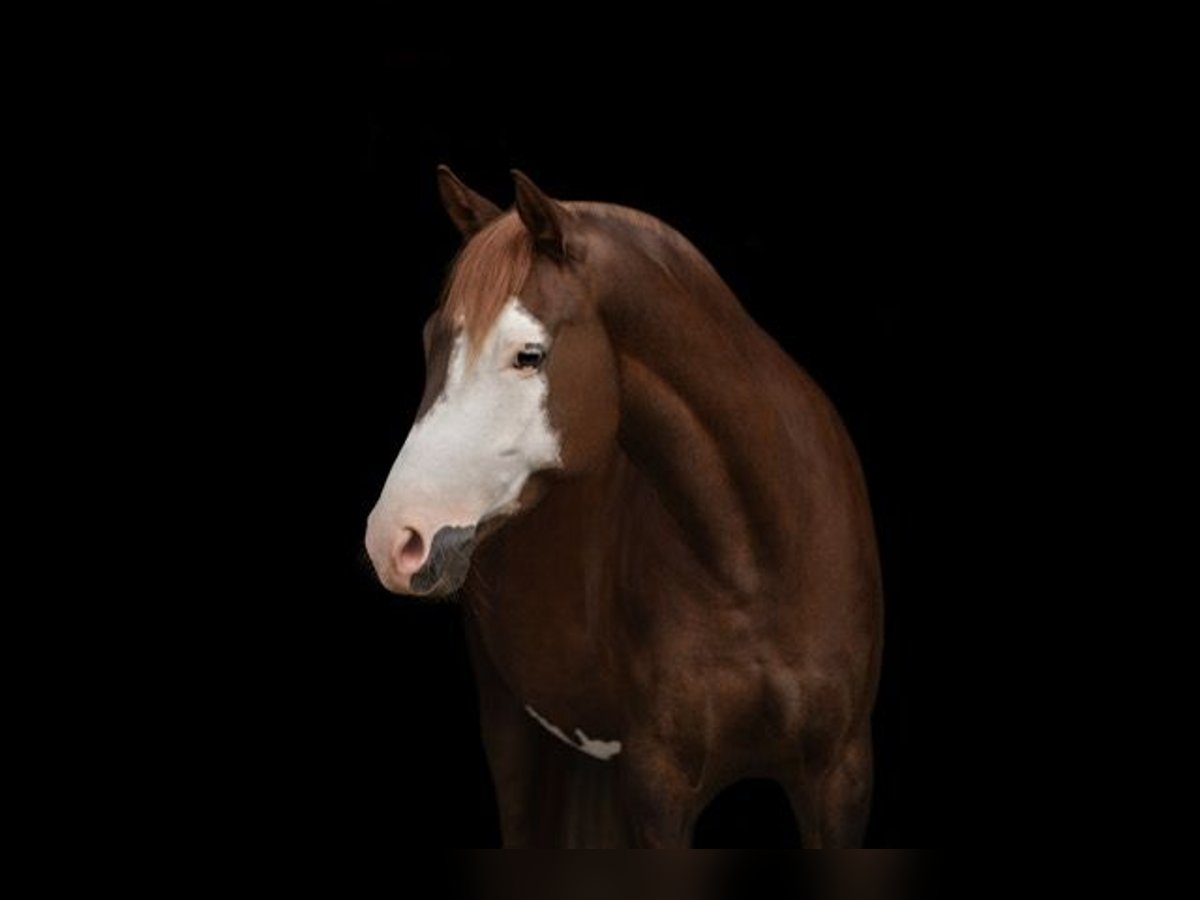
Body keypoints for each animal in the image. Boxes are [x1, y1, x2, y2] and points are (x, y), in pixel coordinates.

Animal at [364, 169, 883, 854]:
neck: (757, 558)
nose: (392, 539)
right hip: (511, 725)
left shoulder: (840, 778)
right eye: (431, 342)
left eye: (528, 354)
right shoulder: (658, 784)